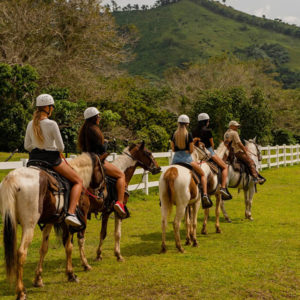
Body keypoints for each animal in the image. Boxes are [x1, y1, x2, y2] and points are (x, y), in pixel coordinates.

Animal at [0, 154, 105, 300]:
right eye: (102, 170)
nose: (102, 193)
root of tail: (12, 178)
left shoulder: (49, 222)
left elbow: (44, 248)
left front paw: (38, 279)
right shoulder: (67, 223)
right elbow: (69, 247)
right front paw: (71, 274)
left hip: (11, 224)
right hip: (29, 226)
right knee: (21, 253)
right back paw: (20, 291)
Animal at [77, 141, 162, 270]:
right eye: (148, 153)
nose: (158, 168)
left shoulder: (106, 212)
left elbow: (103, 233)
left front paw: (99, 255)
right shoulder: (118, 212)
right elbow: (117, 234)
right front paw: (118, 255)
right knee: (80, 238)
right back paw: (85, 264)